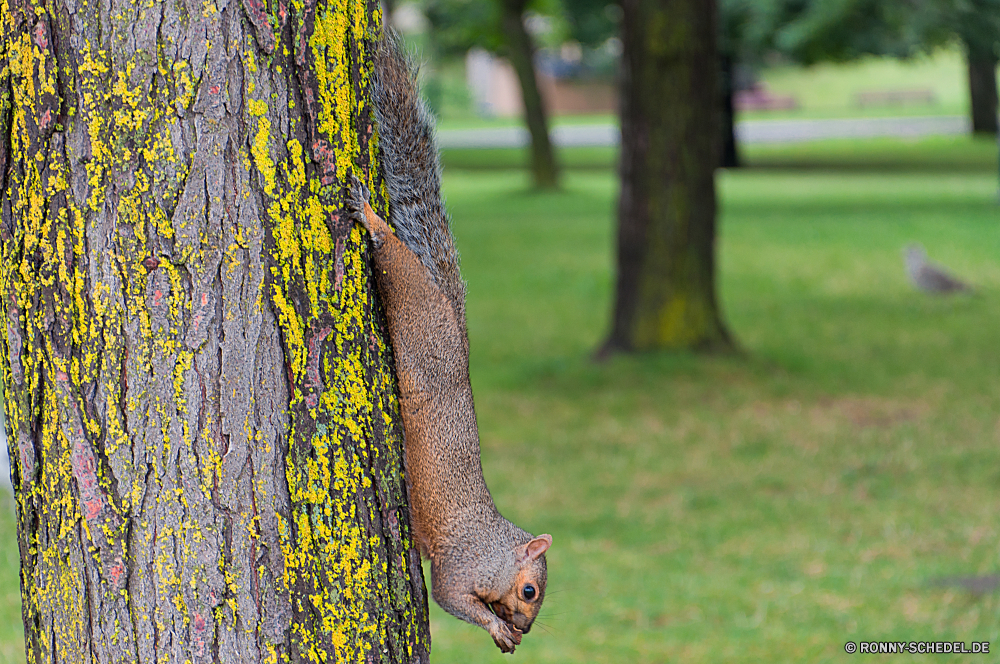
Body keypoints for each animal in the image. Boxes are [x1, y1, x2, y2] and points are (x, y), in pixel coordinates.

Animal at [346, 32, 556, 652]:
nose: (526, 629)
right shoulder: (460, 566)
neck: (496, 552)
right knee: (398, 267)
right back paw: (372, 220)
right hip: (419, 319)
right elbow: (450, 599)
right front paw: (495, 627)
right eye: (530, 591)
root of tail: (456, 327)